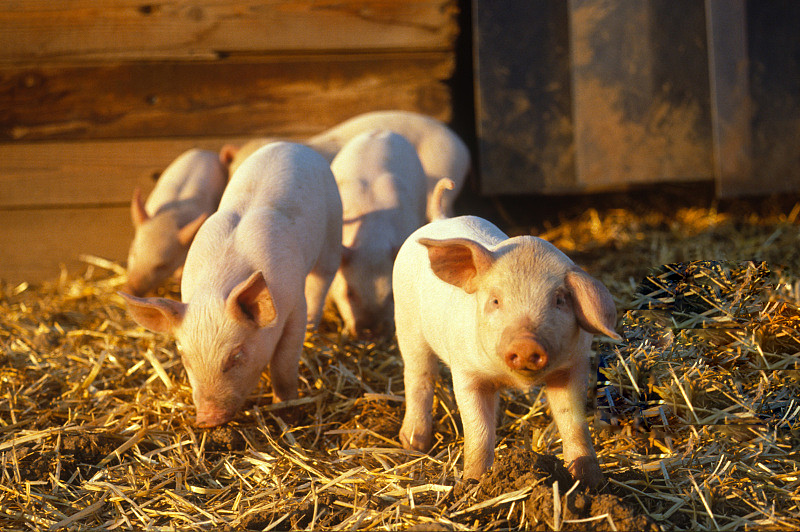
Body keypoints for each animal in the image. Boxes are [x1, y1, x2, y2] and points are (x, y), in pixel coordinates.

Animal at [393, 215, 620, 488]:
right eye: (495, 300)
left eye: (559, 300)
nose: (526, 344)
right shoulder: (466, 373)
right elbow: (478, 431)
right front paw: (473, 483)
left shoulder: (574, 366)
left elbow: (573, 423)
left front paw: (592, 482)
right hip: (407, 326)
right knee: (419, 377)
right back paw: (413, 444)